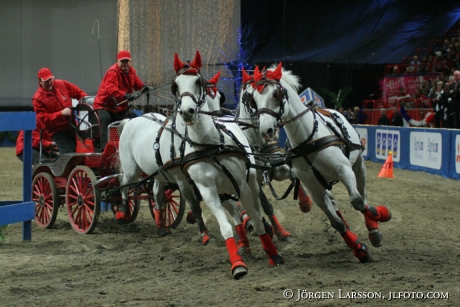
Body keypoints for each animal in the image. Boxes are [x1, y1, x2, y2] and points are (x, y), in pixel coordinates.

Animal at [173, 51, 284, 280]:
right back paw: (245, 245)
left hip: (249, 183)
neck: (210, 144)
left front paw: (274, 252)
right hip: (222, 192)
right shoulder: (208, 191)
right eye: (175, 85)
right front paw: (237, 264)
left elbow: (257, 216)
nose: (187, 111)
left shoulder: (242, 184)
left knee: (256, 209)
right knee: (235, 215)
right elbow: (226, 227)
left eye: (198, 82)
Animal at [246, 63, 390, 264]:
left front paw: (380, 215)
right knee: (335, 204)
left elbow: (357, 201)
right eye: (254, 100)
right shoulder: (314, 189)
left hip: (358, 166)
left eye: (275, 94)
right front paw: (359, 249)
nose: (266, 130)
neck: (307, 141)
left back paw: (374, 226)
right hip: (324, 183)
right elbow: (336, 222)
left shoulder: (344, 170)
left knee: (363, 195)